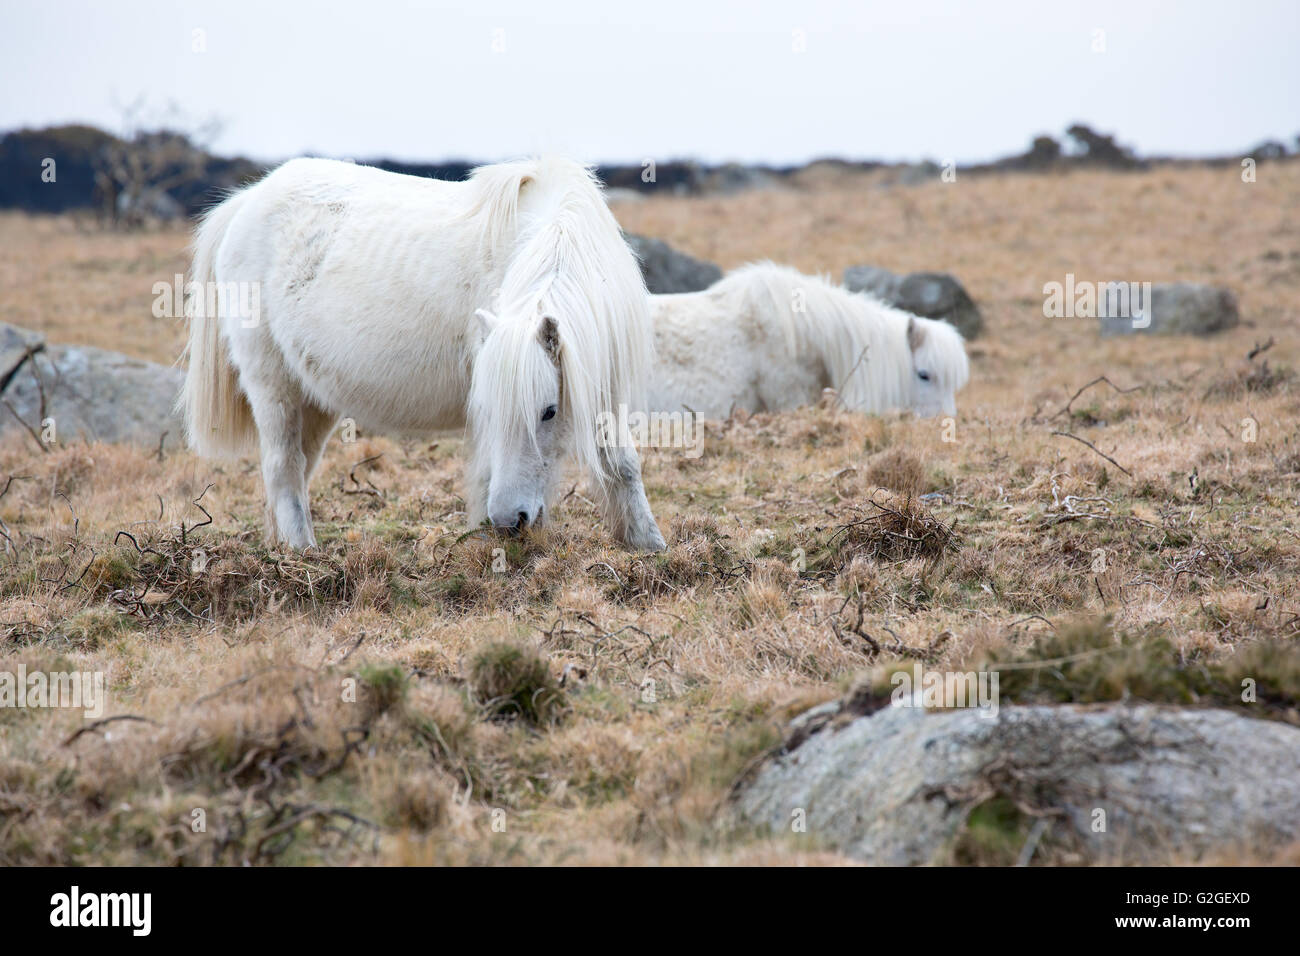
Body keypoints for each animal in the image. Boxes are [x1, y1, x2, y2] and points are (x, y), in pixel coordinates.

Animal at [180, 156, 666, 552]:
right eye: (490, 409)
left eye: (549, 411)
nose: (510, 521)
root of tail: (247, 201)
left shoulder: (601, 386)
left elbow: (622, 464)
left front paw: (648, 544)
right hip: (271, 385)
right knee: (282, 468)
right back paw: (305, 555)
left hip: (313, 401)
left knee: (297, 469)